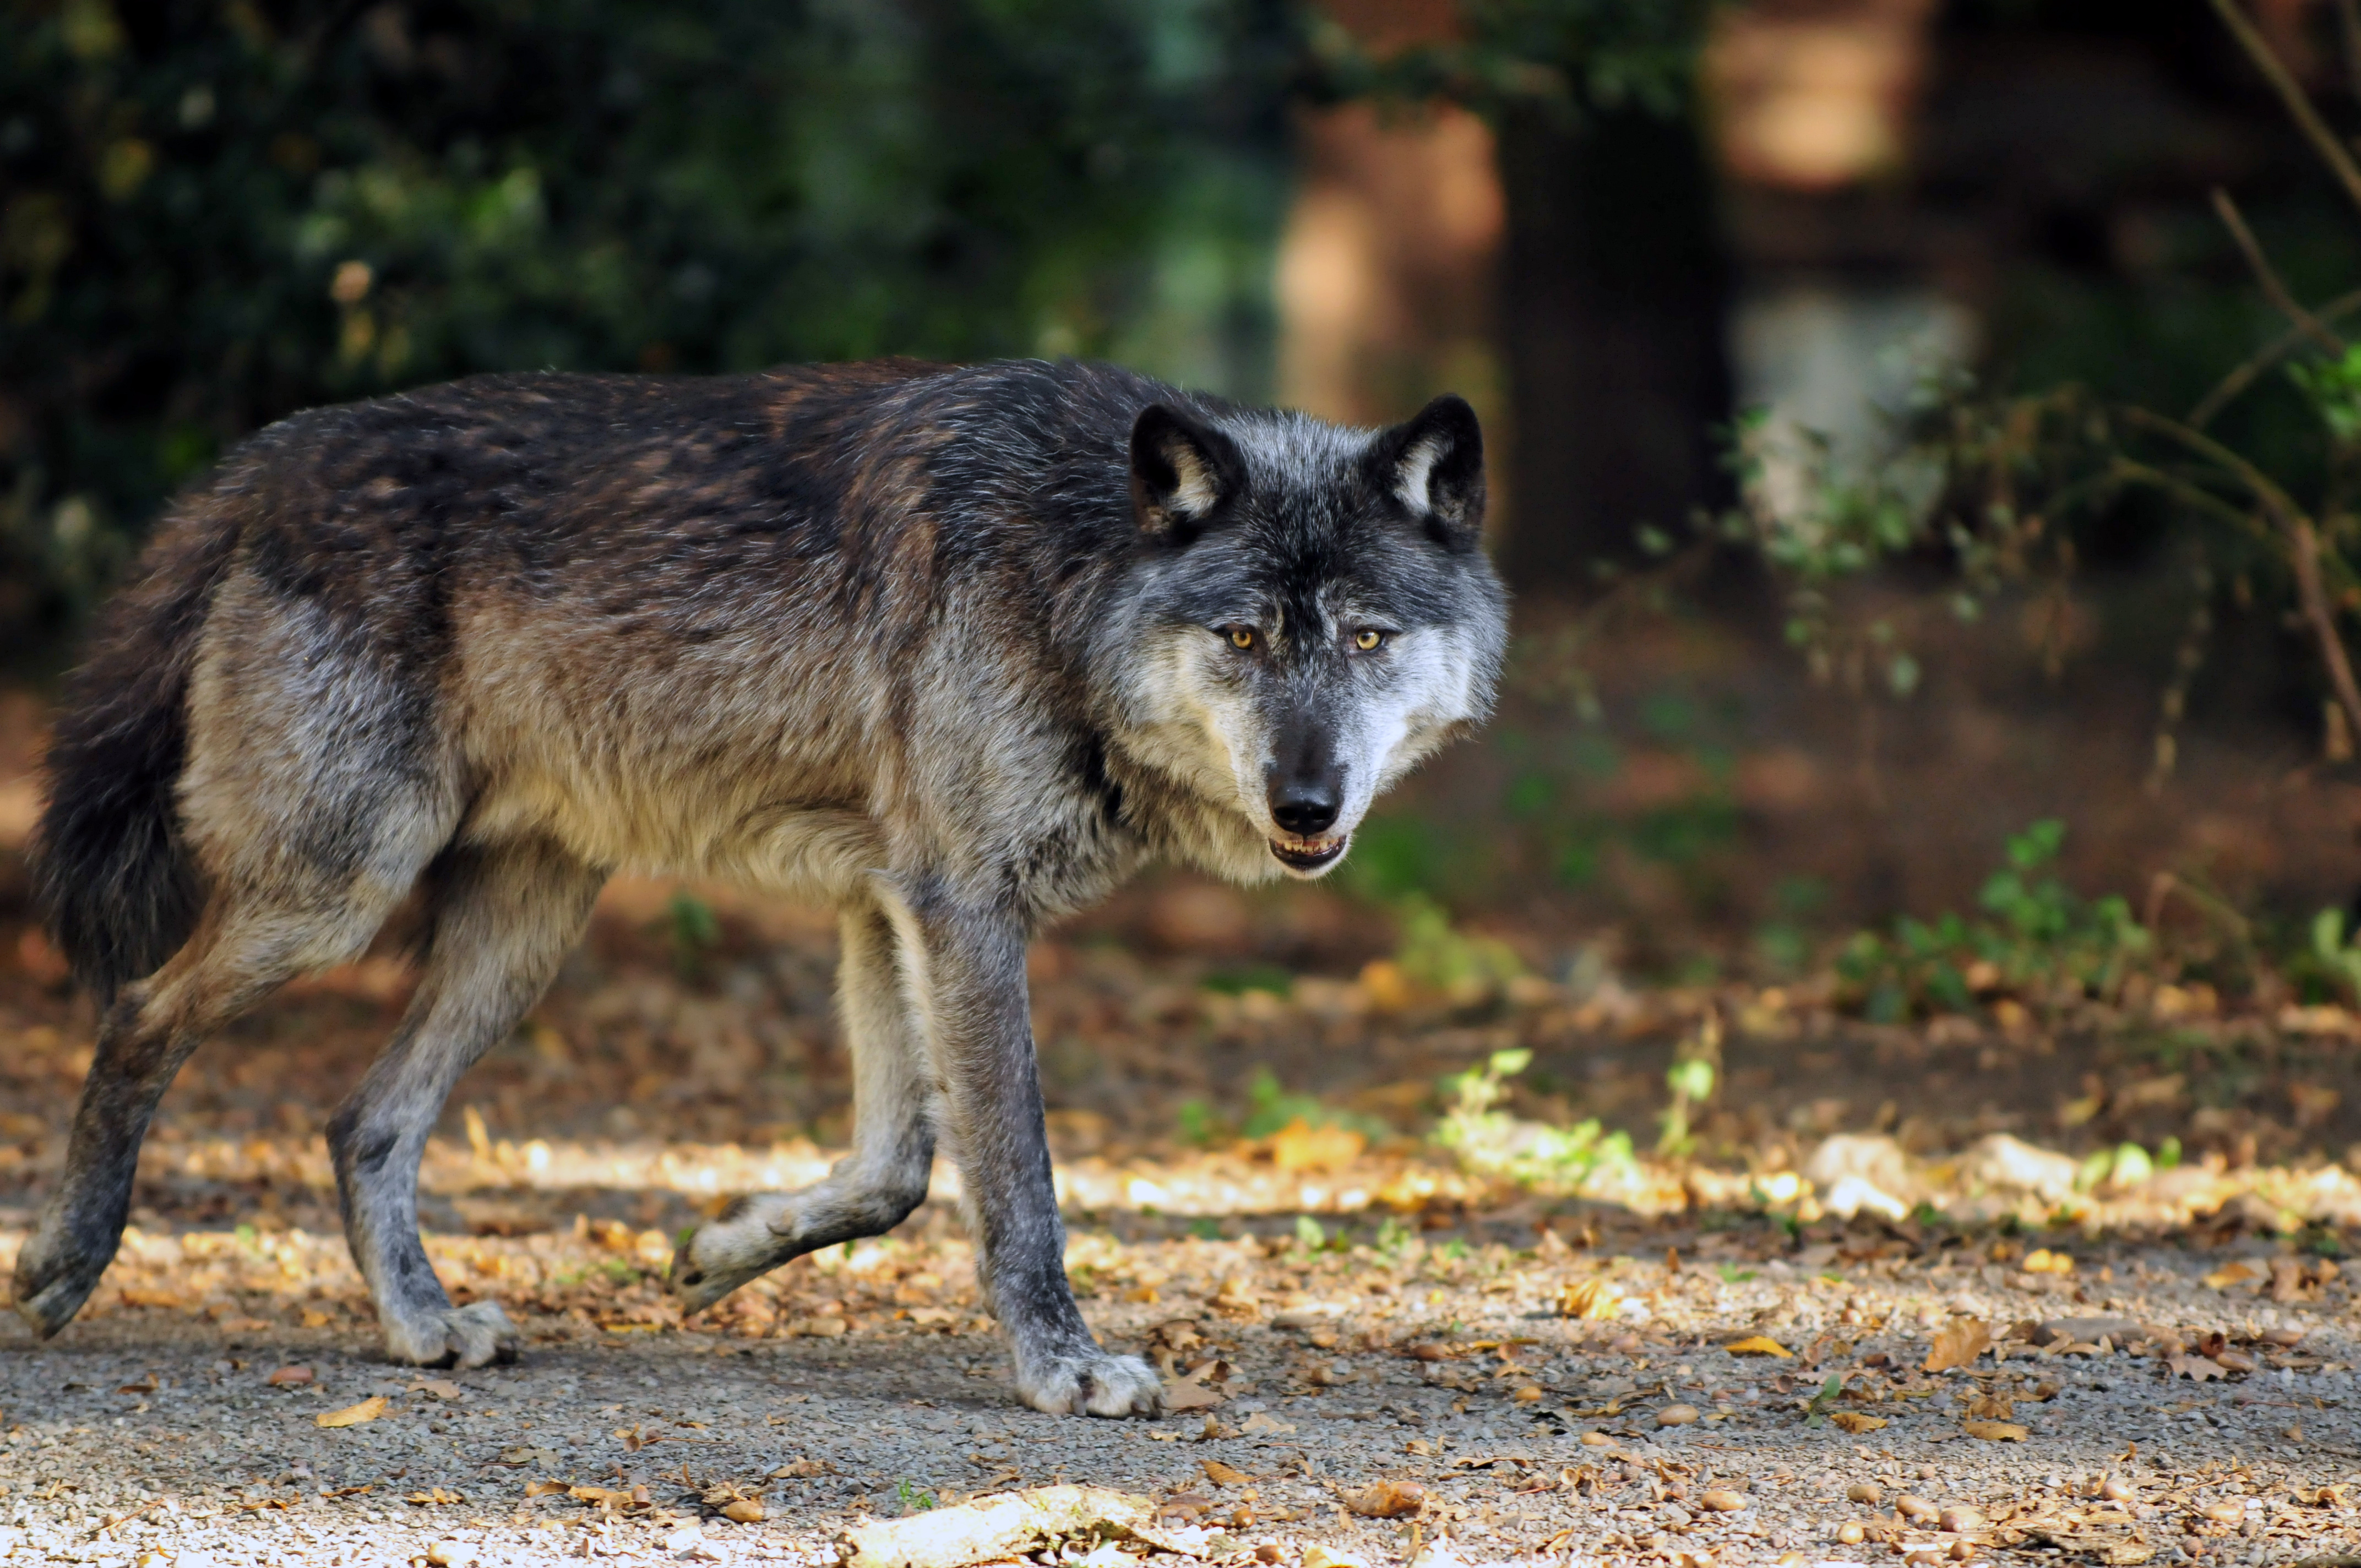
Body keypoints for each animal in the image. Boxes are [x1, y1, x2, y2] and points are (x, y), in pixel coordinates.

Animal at [9, 358, 1502, 1417]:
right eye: (1242, 638)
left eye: (1367, 639)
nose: (1306, 804)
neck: (1071, 566)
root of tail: (265, 455)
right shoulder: (961, 907)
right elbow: (1013, 1175)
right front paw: (1063, 1367)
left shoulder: (890, 903)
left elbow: (895, 1172)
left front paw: (720, 1247)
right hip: (339, 889)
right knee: (138, 1013)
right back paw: (62, 1270)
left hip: (521, 934)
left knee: (361, 1118)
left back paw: (423, 1323)